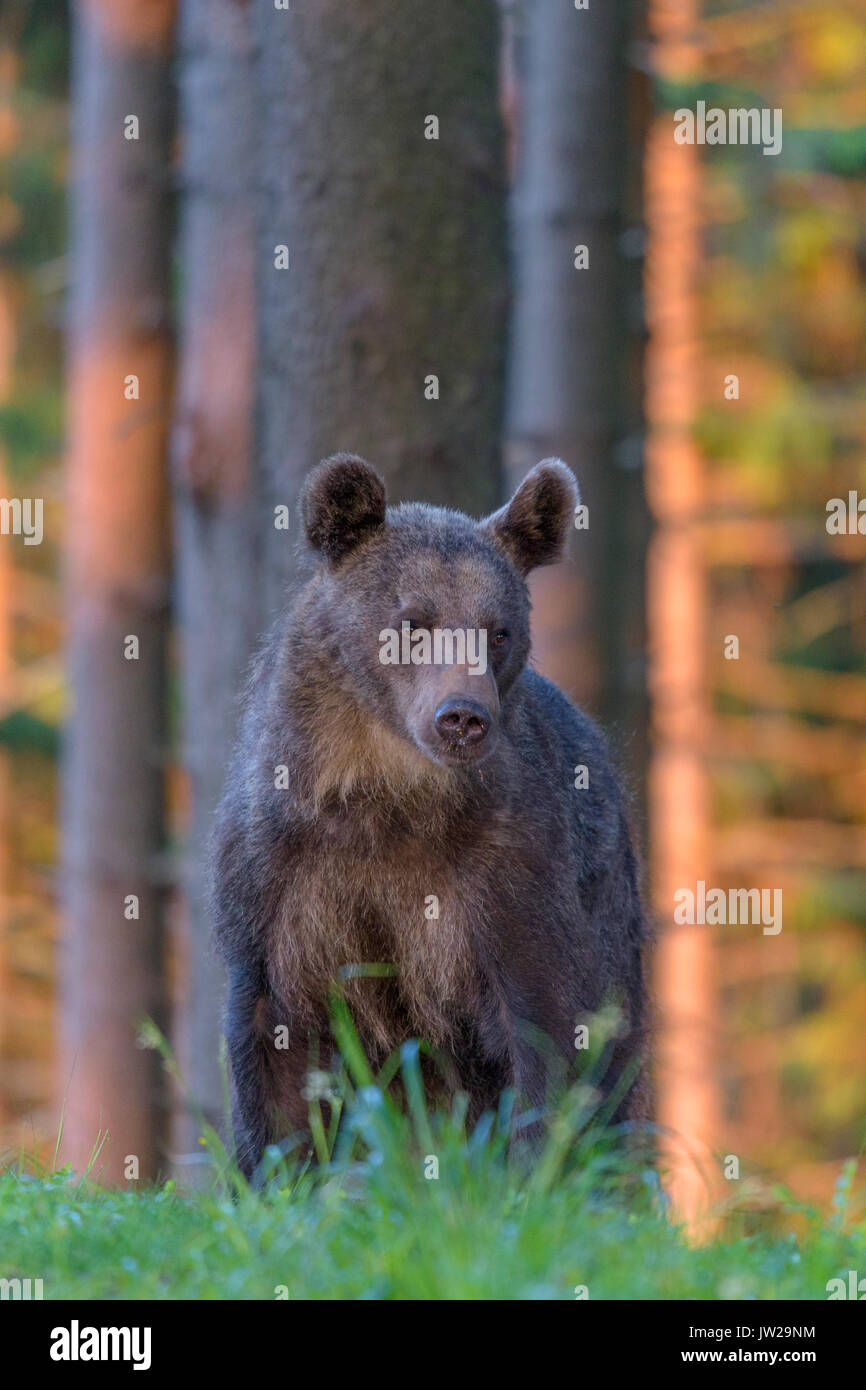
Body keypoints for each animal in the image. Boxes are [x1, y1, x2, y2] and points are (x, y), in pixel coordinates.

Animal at [210, 453, 649, 1177]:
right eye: (414, 620)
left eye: (498, 630)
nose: (462, 717)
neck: (386, 802)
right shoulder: (281, 881)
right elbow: (276, 1054)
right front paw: (275, 1174)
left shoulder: (509, 883)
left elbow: (545, 1035)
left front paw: (533, 1174)